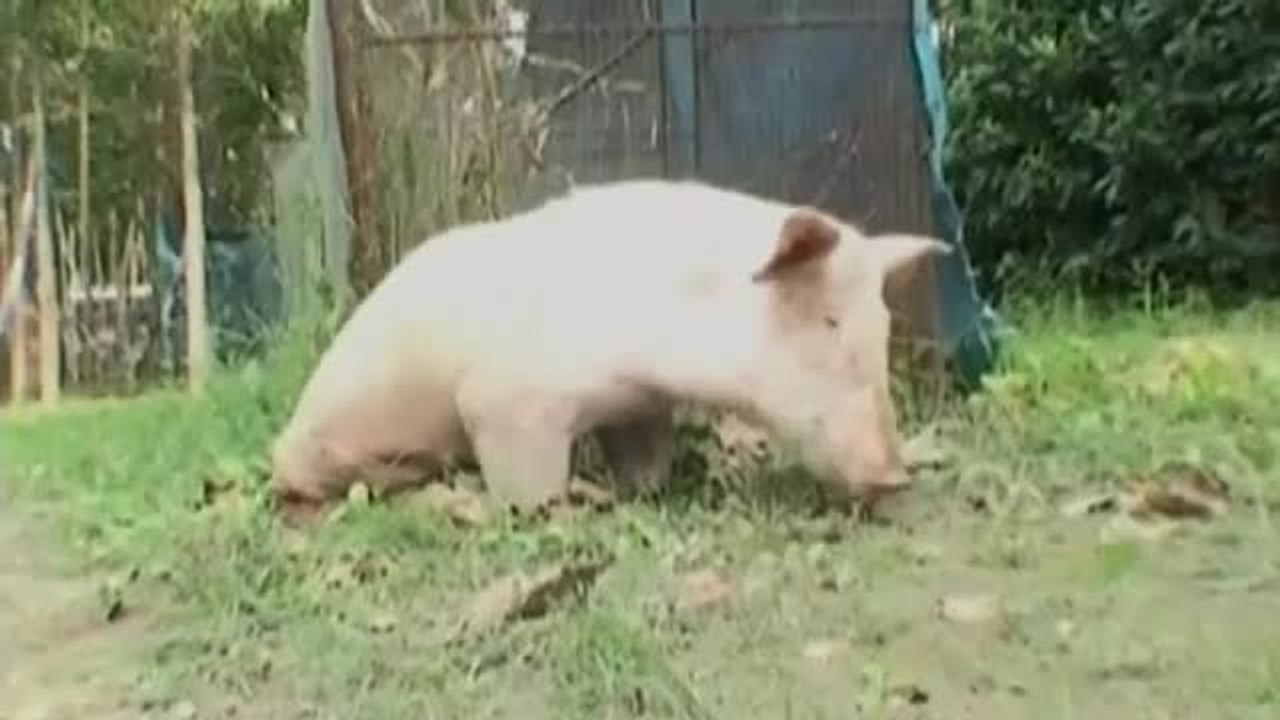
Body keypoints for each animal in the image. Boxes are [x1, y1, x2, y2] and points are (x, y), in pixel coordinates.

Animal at [269, 179, 950, 513]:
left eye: (883, 326)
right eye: (829, 321)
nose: (896, 476)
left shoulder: (639, 407)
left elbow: (647, 461)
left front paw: (642, 491)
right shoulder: (505, 401)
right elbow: (526, 480)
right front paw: (578, 500)